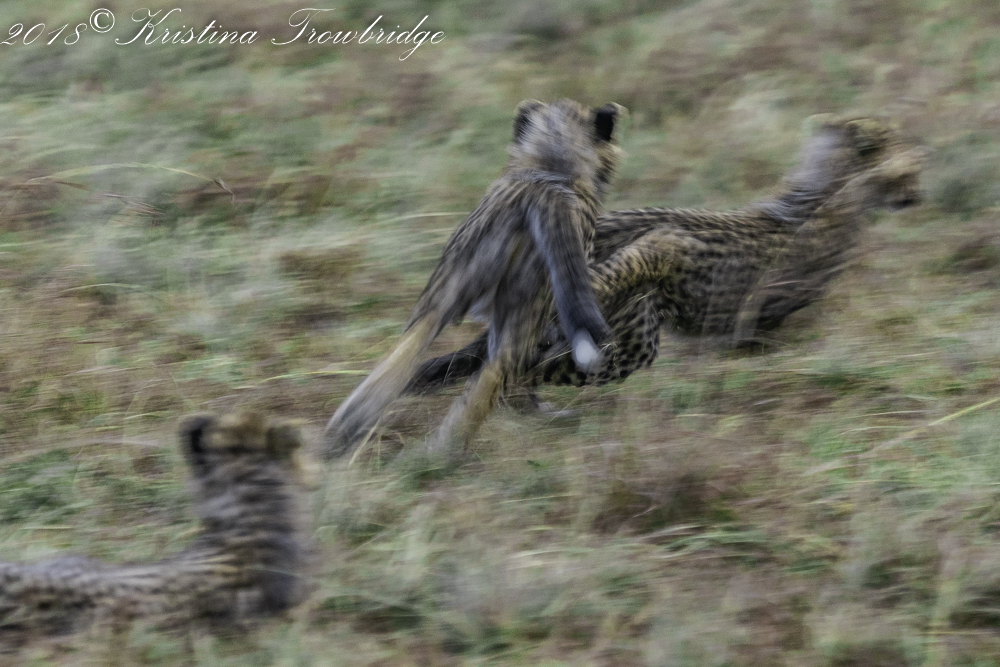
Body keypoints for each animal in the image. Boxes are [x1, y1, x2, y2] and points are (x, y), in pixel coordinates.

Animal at [323, 99, 626, 458]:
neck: (552, 168)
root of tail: (538, 191)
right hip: (524, 310)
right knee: (495, 372)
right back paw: (445, 452)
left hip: (439, 301)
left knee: (402, 356)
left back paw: (342, 434)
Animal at [407, 115, 926, 394]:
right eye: (912, 166)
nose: (917, 196)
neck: (824, 193)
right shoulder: (764, 319)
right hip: (628, 340)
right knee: (525, 373)